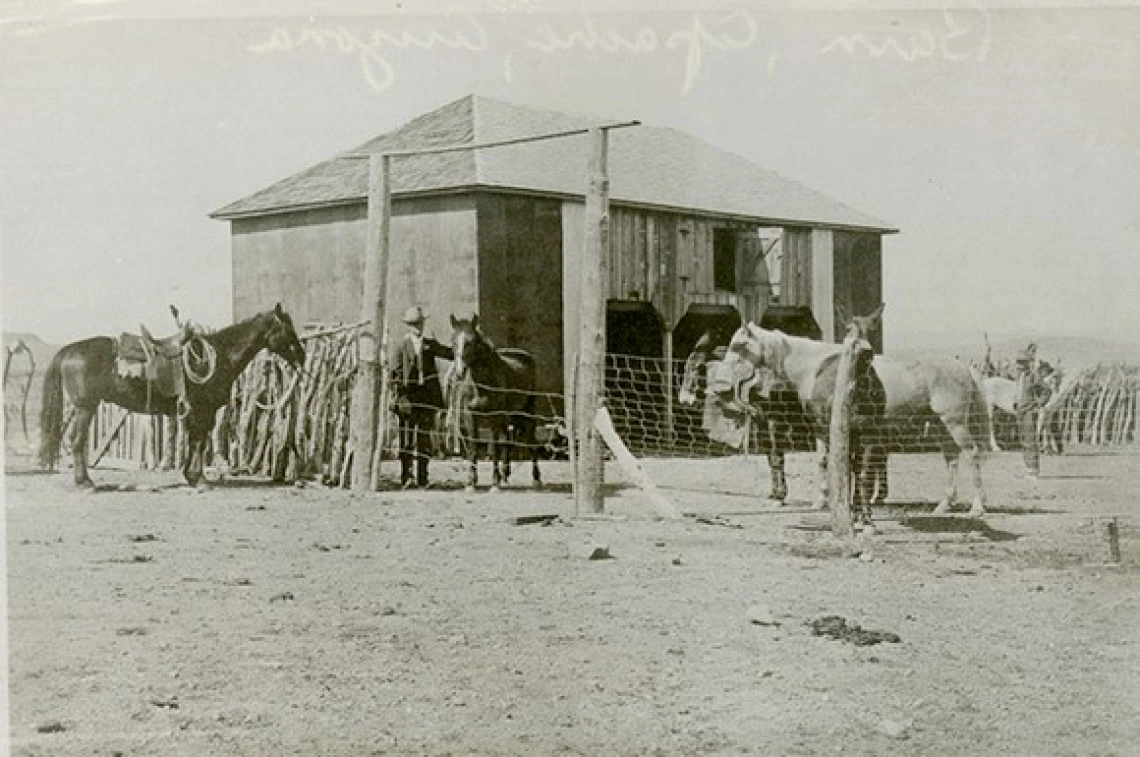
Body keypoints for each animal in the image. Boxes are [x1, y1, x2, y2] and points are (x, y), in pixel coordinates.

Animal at [39, 305, 307, 487]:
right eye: (287, 329)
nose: (302, 356)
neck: (217, 355)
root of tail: (70, 350)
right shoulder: (202, 409)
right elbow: (199, 441)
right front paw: (198, 479)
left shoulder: (195, 411)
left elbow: (195, 441)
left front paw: (191, 476)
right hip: (85, 407)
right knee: (76, 440)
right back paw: (85, 483)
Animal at [446, 312, 540, 490]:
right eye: (453, 341)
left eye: (470, 342)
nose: (459, 372)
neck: (481, 383)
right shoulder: (470, 414)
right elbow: (474, 446)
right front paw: (471, 482)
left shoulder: (493, 415)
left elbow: (494, 447)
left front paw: (494, 483)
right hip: (509, 415)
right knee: (508, 439)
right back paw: (505, 474)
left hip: (527, 411)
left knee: (531, 441)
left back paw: (536, 478)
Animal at [720, 307, 989, 515]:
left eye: (737, 345)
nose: (722, 381)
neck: (815, 367)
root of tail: (964, 366)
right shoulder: (820, 427)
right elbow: (823, 460)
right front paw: (821, 501)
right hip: (940, 425)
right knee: (952, 458)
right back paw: (943, 505)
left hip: (954, 422)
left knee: (972, 454)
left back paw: (977, 507)